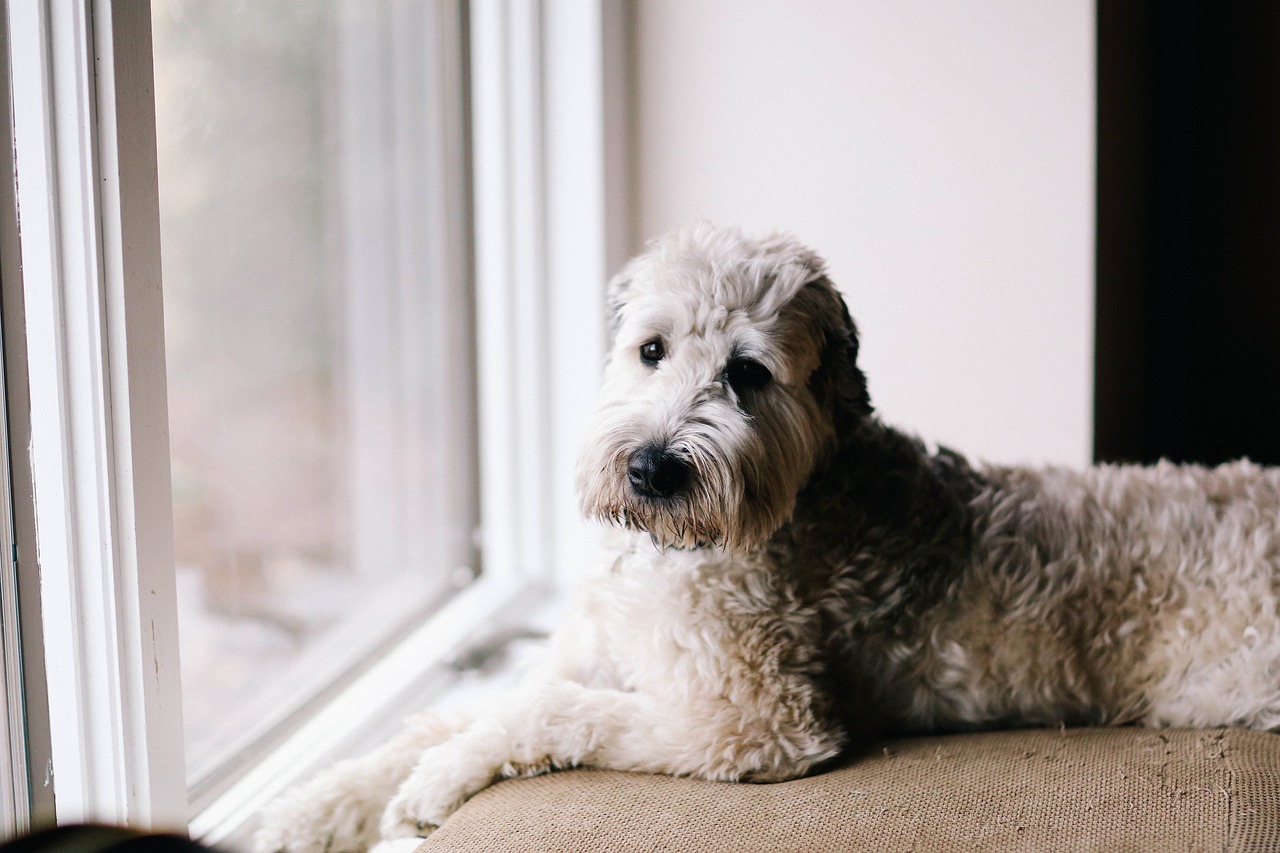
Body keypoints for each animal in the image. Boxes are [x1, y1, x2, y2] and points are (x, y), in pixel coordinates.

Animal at [254, 224, 1280, 850]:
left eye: (748, 373)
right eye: (652, 350)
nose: (653, 467)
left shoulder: (751, 721)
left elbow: (547, 713)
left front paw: (433, 784)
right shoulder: (594, 653)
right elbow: (453, 712)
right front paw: (316, 806)